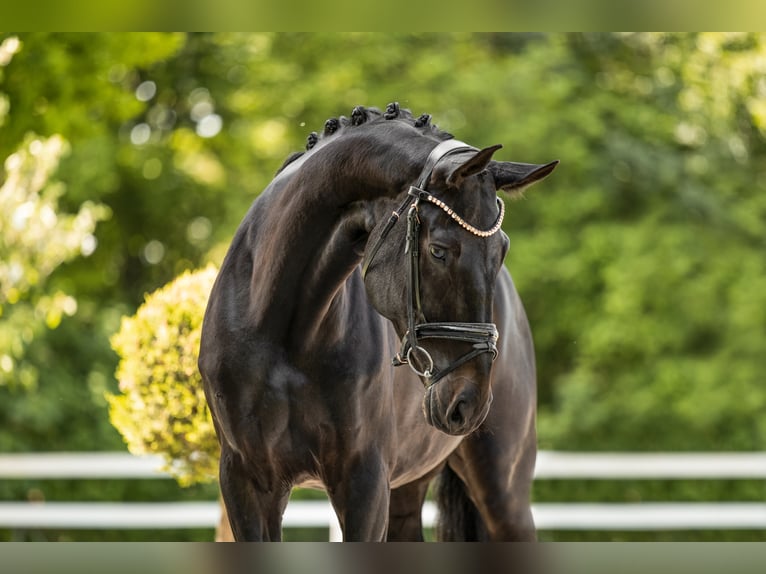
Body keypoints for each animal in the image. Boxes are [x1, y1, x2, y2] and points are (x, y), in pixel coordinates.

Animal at [198, 104, 560, 544]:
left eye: (502, 250)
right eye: (439, 250)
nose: (469, 403)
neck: (281, 330)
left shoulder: (364, 483)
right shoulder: (246, 483)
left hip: (502, 492)